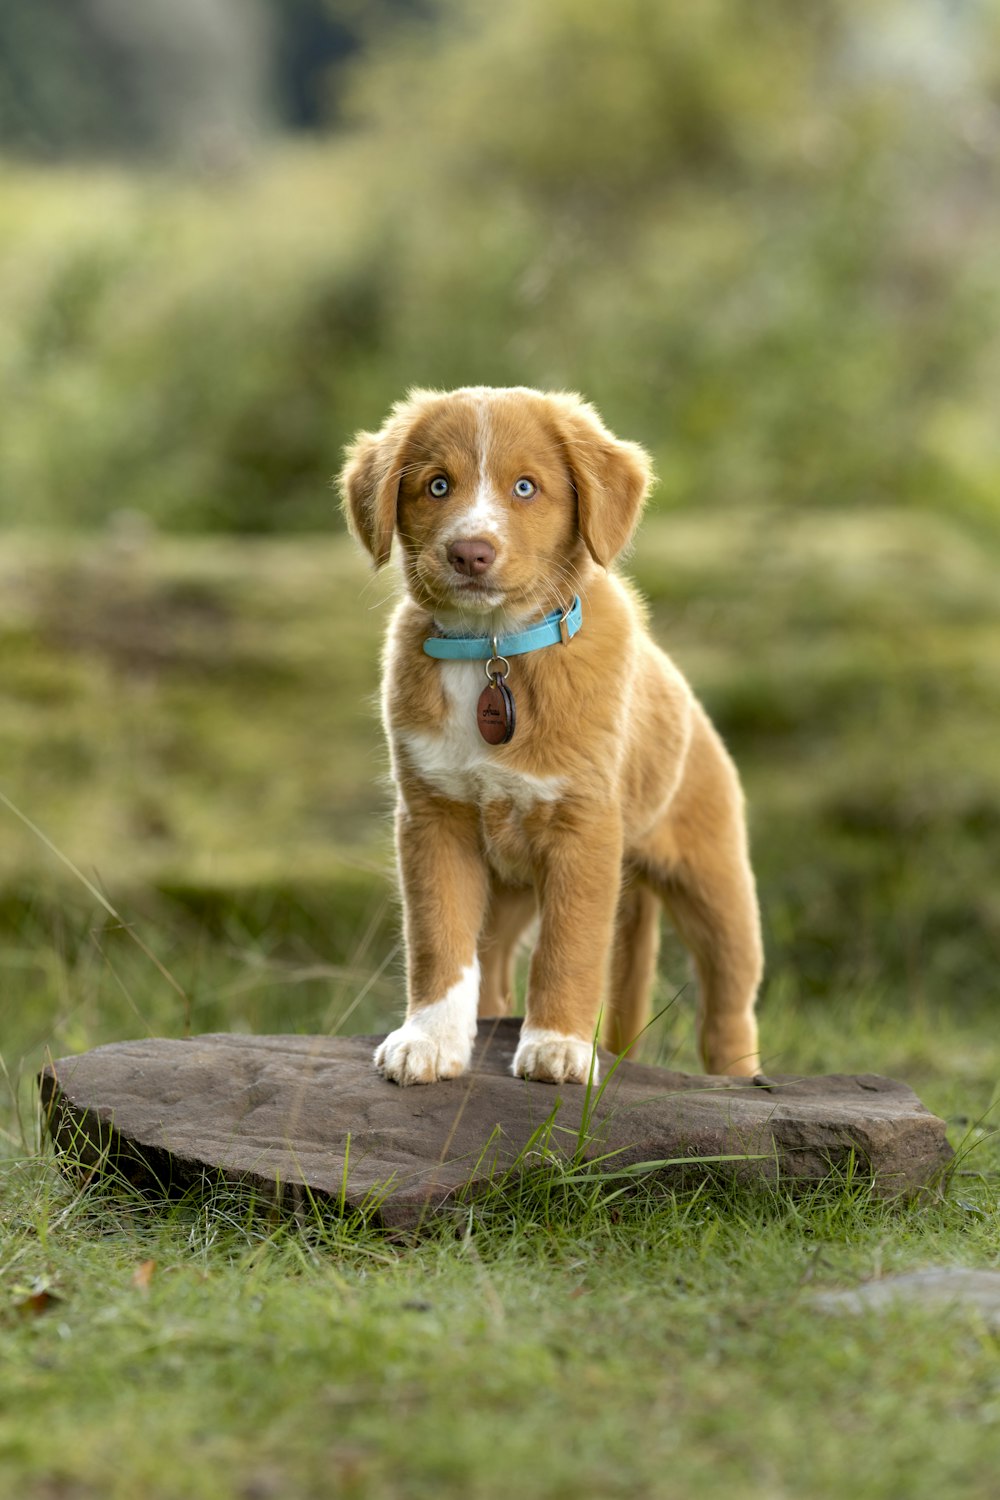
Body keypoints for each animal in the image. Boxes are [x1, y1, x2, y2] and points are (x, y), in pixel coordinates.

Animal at [340, 387, 761, 1086]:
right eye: (437, 485)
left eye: (526, 487)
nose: (470, 553)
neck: (492, 653)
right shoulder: (433, 819)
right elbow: (438, 939)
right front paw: (429, 1041)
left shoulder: (583, 830)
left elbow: (570, 948)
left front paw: (558, 1046)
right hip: (506, 893)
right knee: (491, 972)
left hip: (716, 884)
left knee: (728, 1002)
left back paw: (738, 1080)